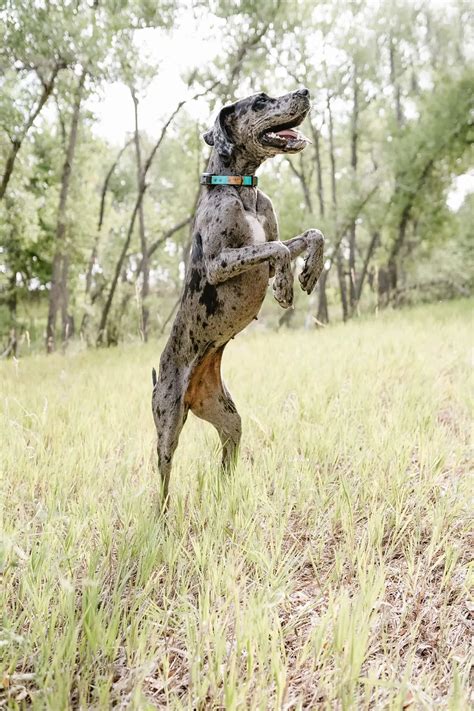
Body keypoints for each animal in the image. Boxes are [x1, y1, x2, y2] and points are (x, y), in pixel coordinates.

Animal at [154, 89, 324, 508]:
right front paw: (284, 286)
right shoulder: (220, 263)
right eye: (261, 100)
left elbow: (310, 234)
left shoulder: (271, 242)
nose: (304, 91)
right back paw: (161, 517)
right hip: (167, 425)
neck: (241, 186)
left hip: (228, 417)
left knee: (227, 456)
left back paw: (225, 495)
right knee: (163, 476)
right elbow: (277, 249)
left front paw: (309, 271)